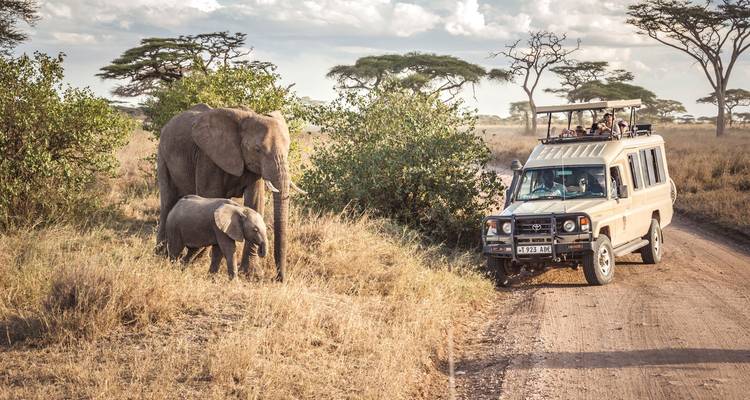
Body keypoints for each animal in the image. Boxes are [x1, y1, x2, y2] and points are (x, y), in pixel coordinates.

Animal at [156, 104, 302, 281]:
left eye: (288, 149)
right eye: (257, 149)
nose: (278, 278)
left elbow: (255, 202)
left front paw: (250, 273)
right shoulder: (208, 156)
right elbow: (210, 195)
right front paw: (200, 260)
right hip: (162, 155)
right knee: (168, 200)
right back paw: (161, 254)